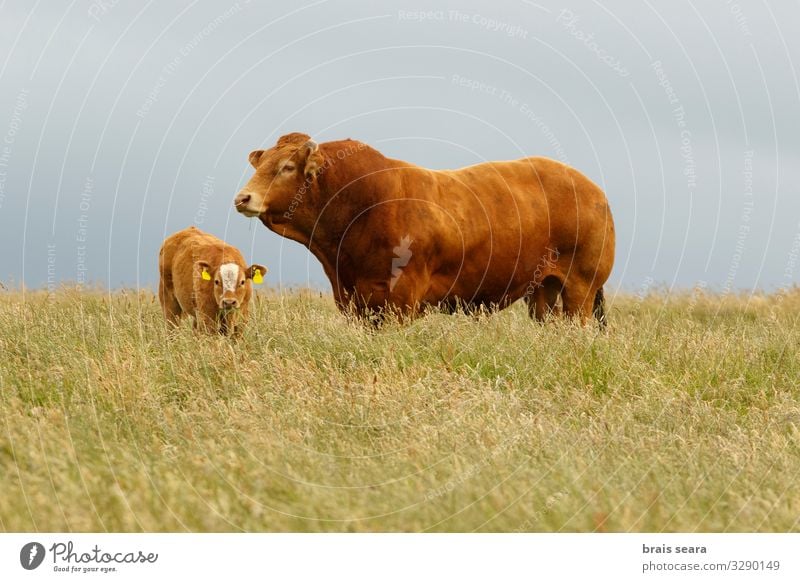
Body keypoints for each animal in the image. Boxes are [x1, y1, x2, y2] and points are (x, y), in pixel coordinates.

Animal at [234, 133, 616, 328]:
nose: (243, 197)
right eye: (260, 164)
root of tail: (592, 188)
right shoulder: (356, 301)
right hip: (542, 292)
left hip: (581, 287)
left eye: (286, 167)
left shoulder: (399, 301)